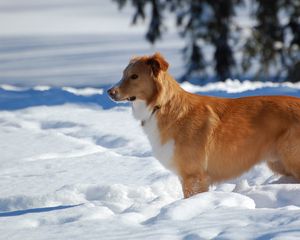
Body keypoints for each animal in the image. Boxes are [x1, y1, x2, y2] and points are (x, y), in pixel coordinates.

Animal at [108, 51, 300, 198]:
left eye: (134, 76)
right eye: (123, 75)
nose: (110, 92)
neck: (160, 105)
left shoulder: (193, 176)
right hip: (279, 162)